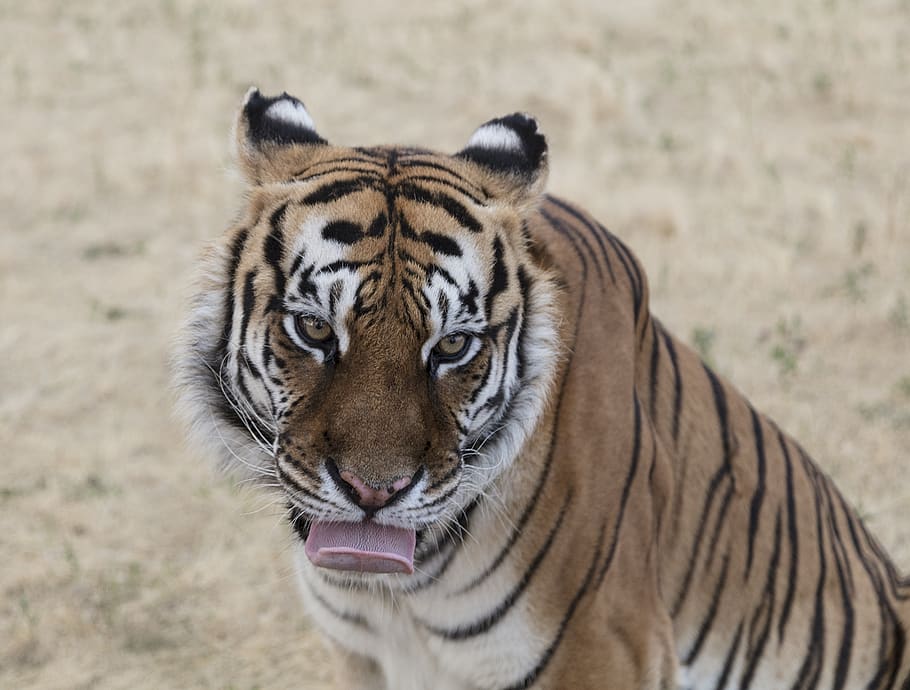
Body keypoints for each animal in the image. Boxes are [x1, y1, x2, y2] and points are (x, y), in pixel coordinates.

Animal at [173, 88, 910, 690]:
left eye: (452, 346)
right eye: (315, 329)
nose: (373, 494)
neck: (399, 599)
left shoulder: (606, 647)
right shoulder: (362, 659)